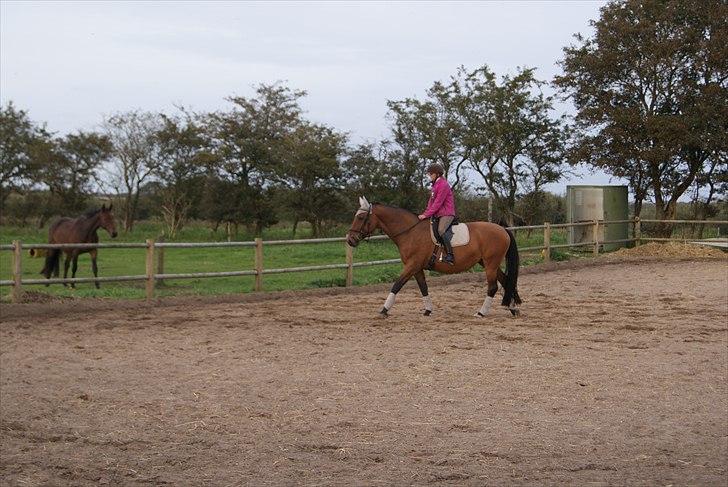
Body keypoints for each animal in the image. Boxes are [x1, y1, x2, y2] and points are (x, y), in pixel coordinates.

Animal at [348, 196, 524, 318]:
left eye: (361, 218)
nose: (350, 240)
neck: (410, 231)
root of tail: (503, 229)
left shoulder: (411, 265)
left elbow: (396, 285)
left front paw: (384, 310)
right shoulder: (417, 268)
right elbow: (423, 288)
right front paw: (428, 310)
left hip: (490, 263)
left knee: (493, 287)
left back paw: (481, 312)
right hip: (487, 263)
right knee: (506, 280)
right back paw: (513, 308)